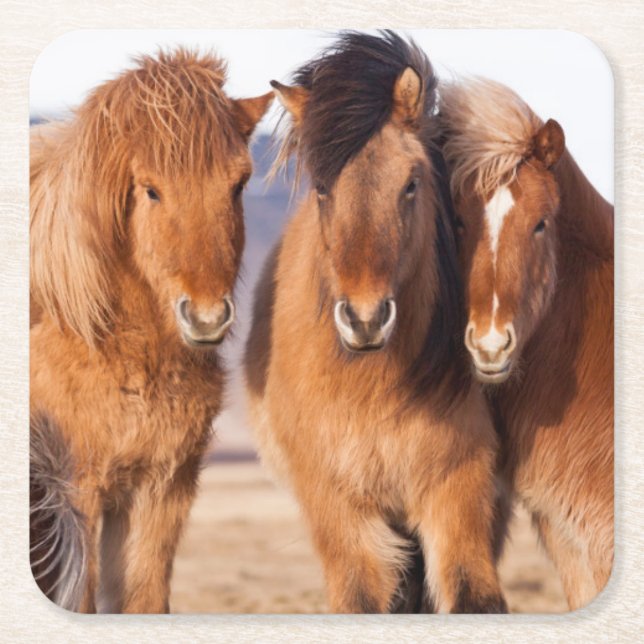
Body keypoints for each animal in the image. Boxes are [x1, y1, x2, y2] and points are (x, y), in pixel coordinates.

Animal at [29, 49, 272, 613]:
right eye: (151, 190)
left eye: (239, 184)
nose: (205, 317)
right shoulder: (75, 490)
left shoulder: (162, 488)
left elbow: (143, 599)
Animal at [243, 31, 506, 614]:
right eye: (321, 188)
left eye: (412, 184)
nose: (365, 320)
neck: (372, 389)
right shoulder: (337, 505)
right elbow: (361, 597)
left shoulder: (459, 488)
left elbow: (472, 595)